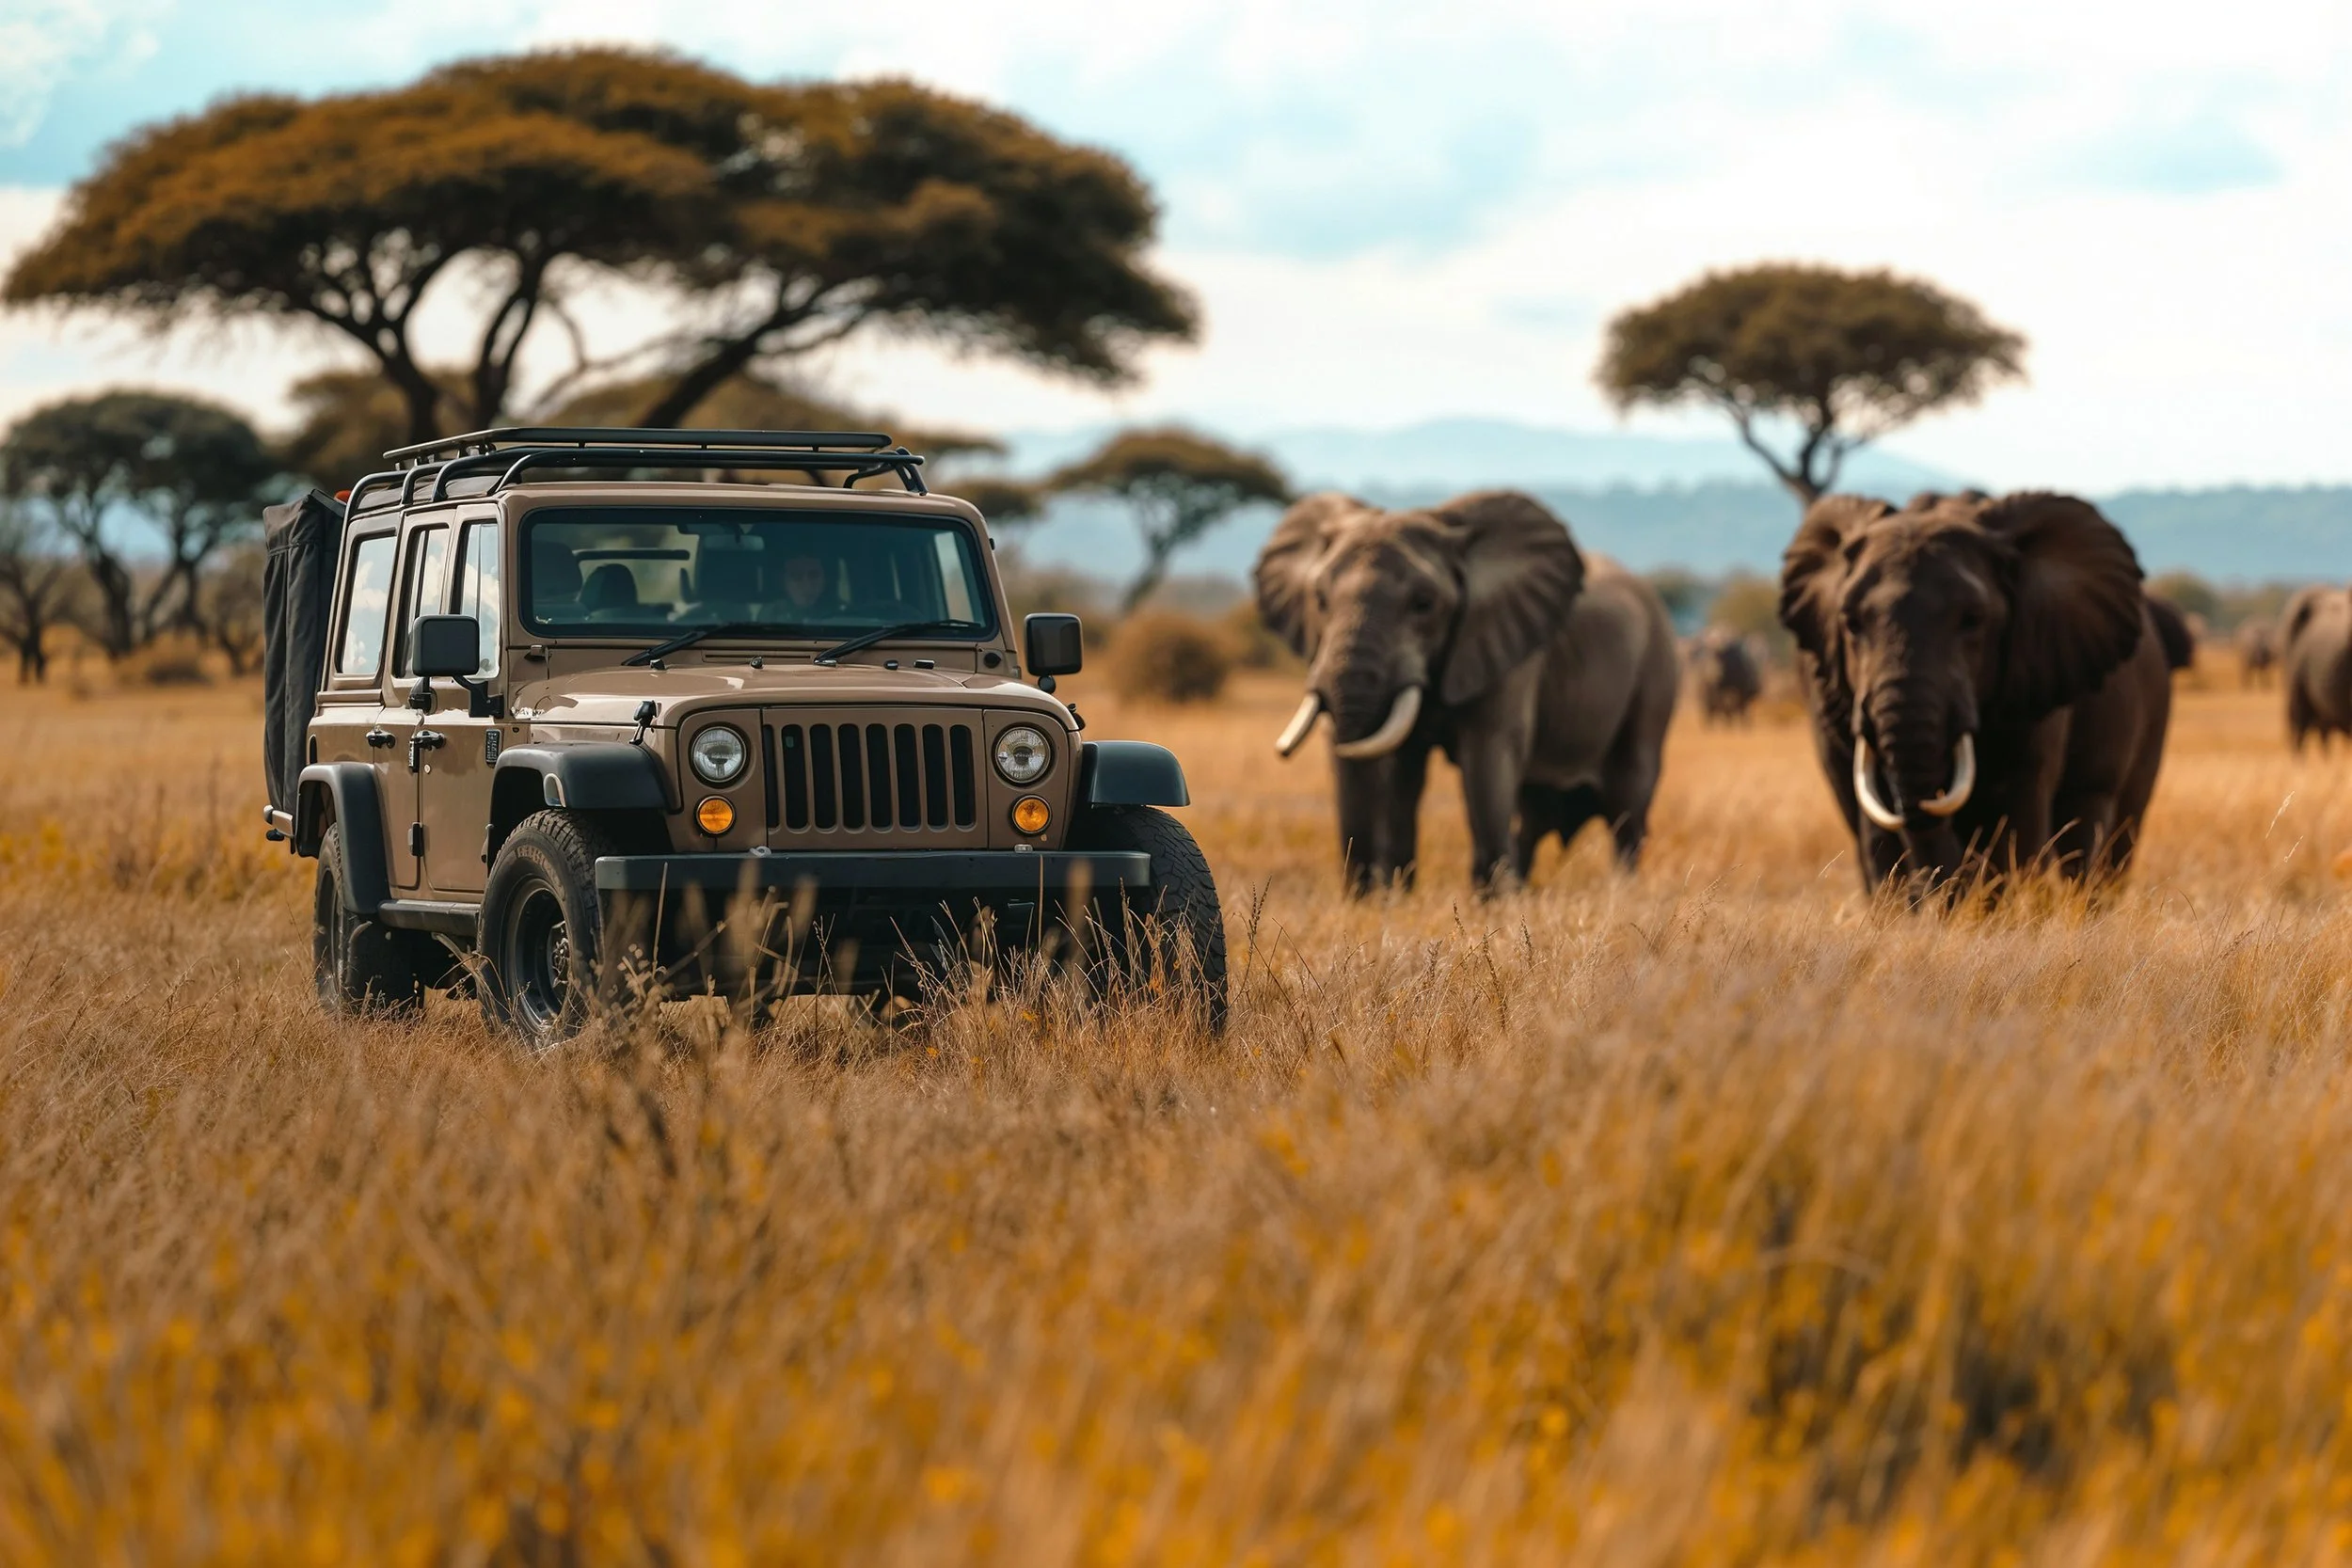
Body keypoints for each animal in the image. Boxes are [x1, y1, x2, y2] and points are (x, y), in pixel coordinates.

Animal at [1254, 489, 1679, 893]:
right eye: (1319, 600)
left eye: (1423, 604)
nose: (1362, 894)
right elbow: (1403, 770)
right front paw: (1398, 899)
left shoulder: (1506, 646)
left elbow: (1487, 755)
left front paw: (1491, 906)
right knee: (1534, 814)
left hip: (1656, 673)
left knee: (1628, 805)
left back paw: (1618, 892)